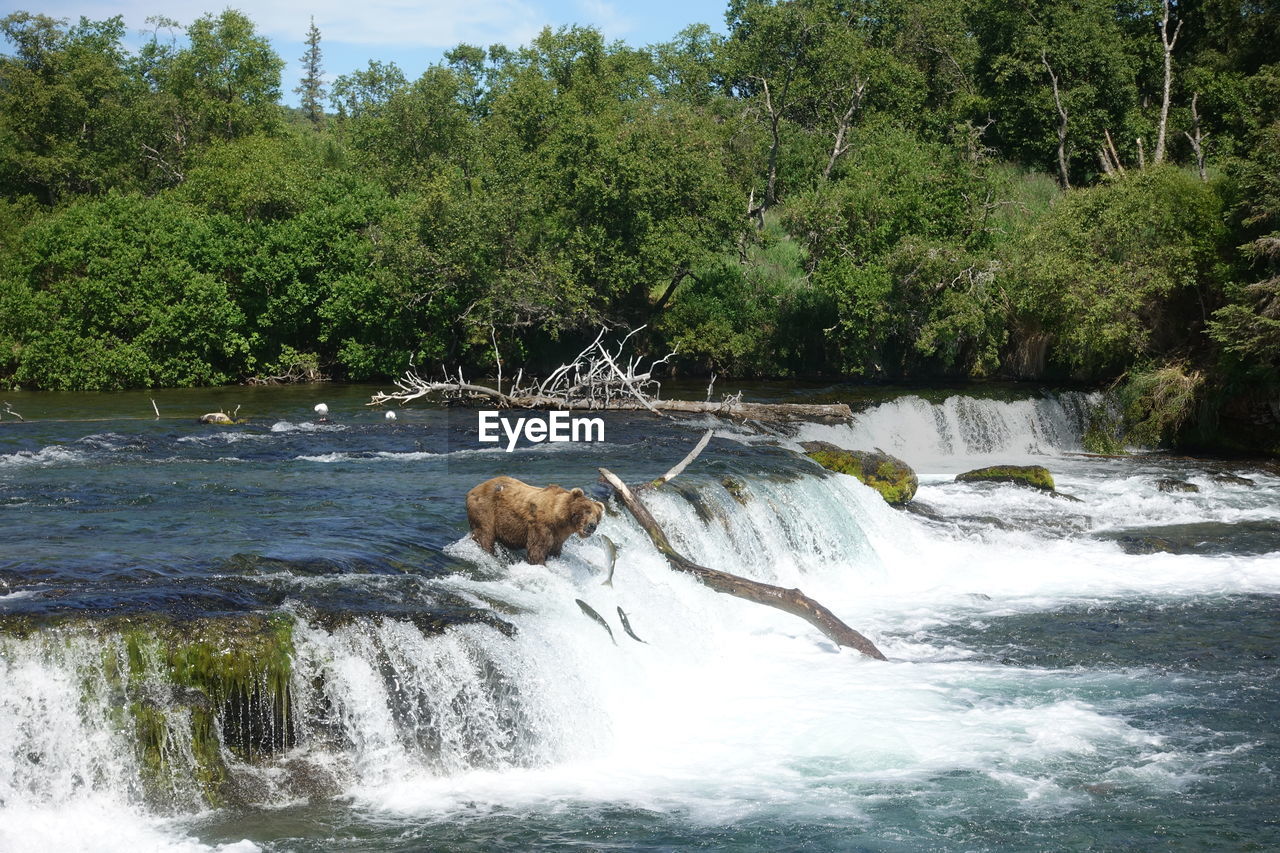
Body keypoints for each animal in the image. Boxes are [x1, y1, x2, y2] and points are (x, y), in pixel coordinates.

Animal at [465, 471, 604, 563]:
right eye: (586, 511)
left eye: (597, 516)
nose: (592, 525)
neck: (560, 519)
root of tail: (472, 490)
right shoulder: (541, 526)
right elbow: (537, 549)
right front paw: (539, 562)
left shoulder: (559, 536)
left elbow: (555, 551)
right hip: (485, 509)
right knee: (485, 533)